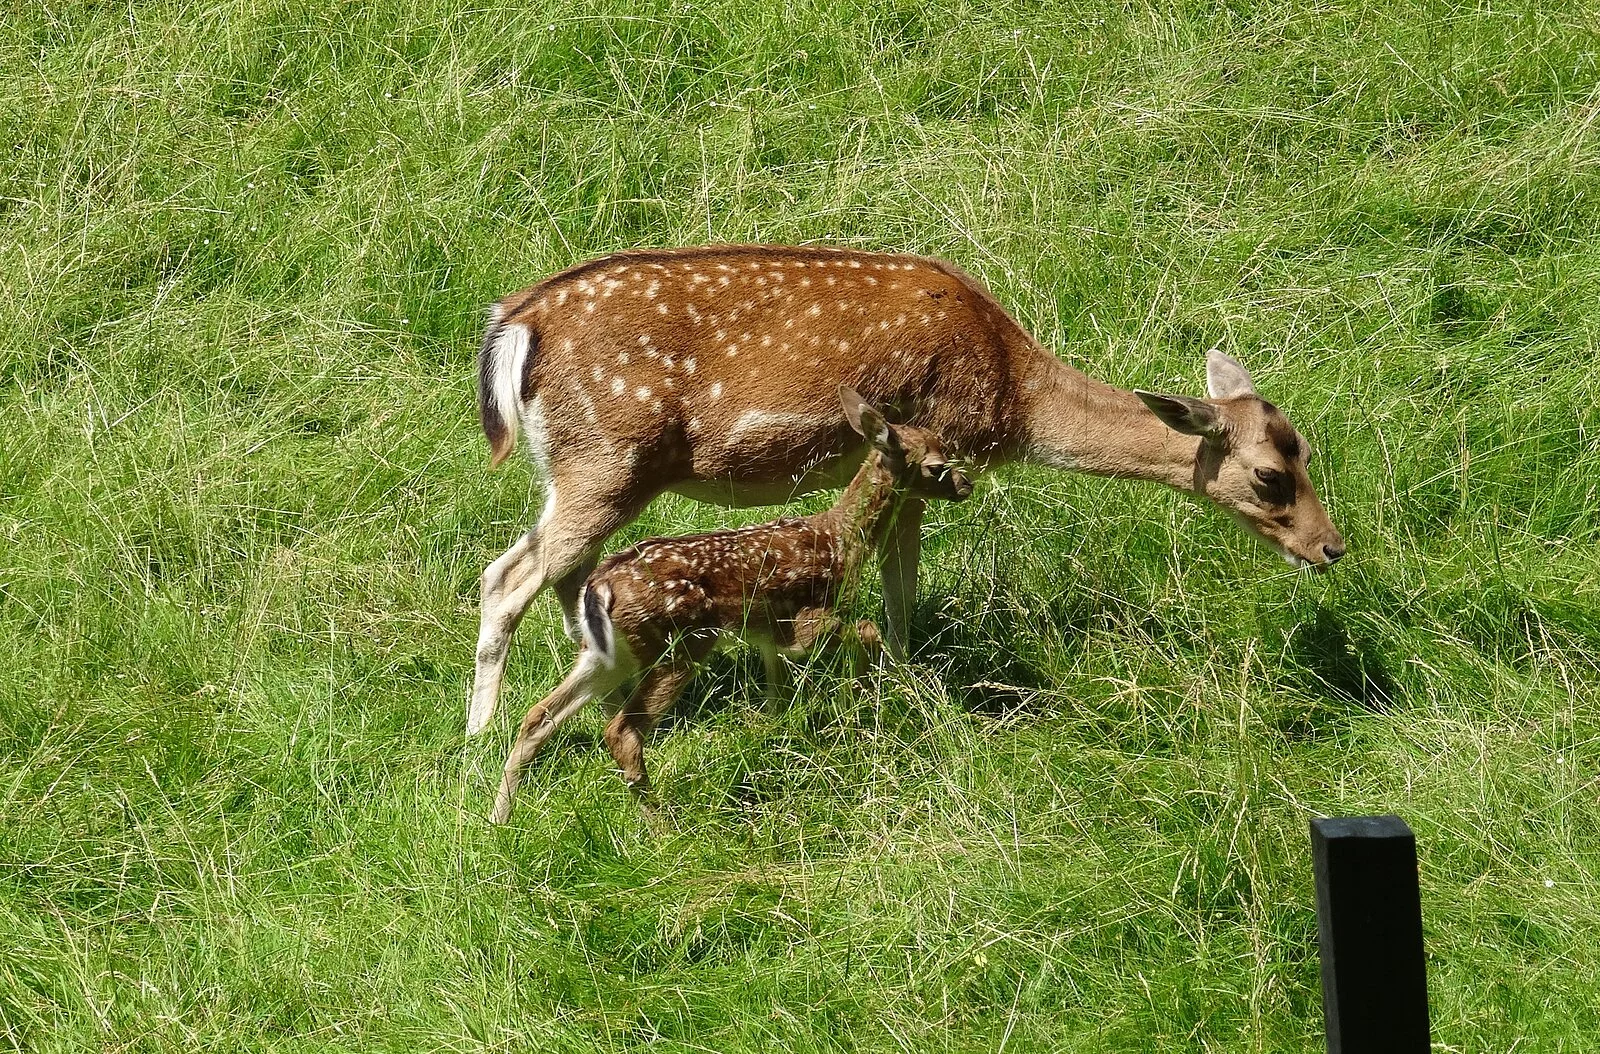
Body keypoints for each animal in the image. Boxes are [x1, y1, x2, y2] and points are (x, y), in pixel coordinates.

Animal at [469, 244, 1345, 739]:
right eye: (1270, 476)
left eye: (1307, 450)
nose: (1331, 547)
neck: (1014, 398)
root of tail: (515, 327)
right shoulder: (929, 449)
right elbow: (901, 583)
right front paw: (908, 679)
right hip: (609, 459)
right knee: (507, 578)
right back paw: (480, 743)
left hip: (583, 472)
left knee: (551, 574)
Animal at [489, 386, 972, 822]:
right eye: (937, 465)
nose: (966, 485)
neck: (842, 539)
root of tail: (600, 588)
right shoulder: (805, 618)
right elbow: (865, 630)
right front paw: (866, 690)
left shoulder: (768, 633)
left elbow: (778, 693)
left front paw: (785, 731)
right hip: (681, 640)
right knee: (622, 730)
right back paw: (660, 824)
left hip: (610, 652)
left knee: (540, 714)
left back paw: (501, 815)